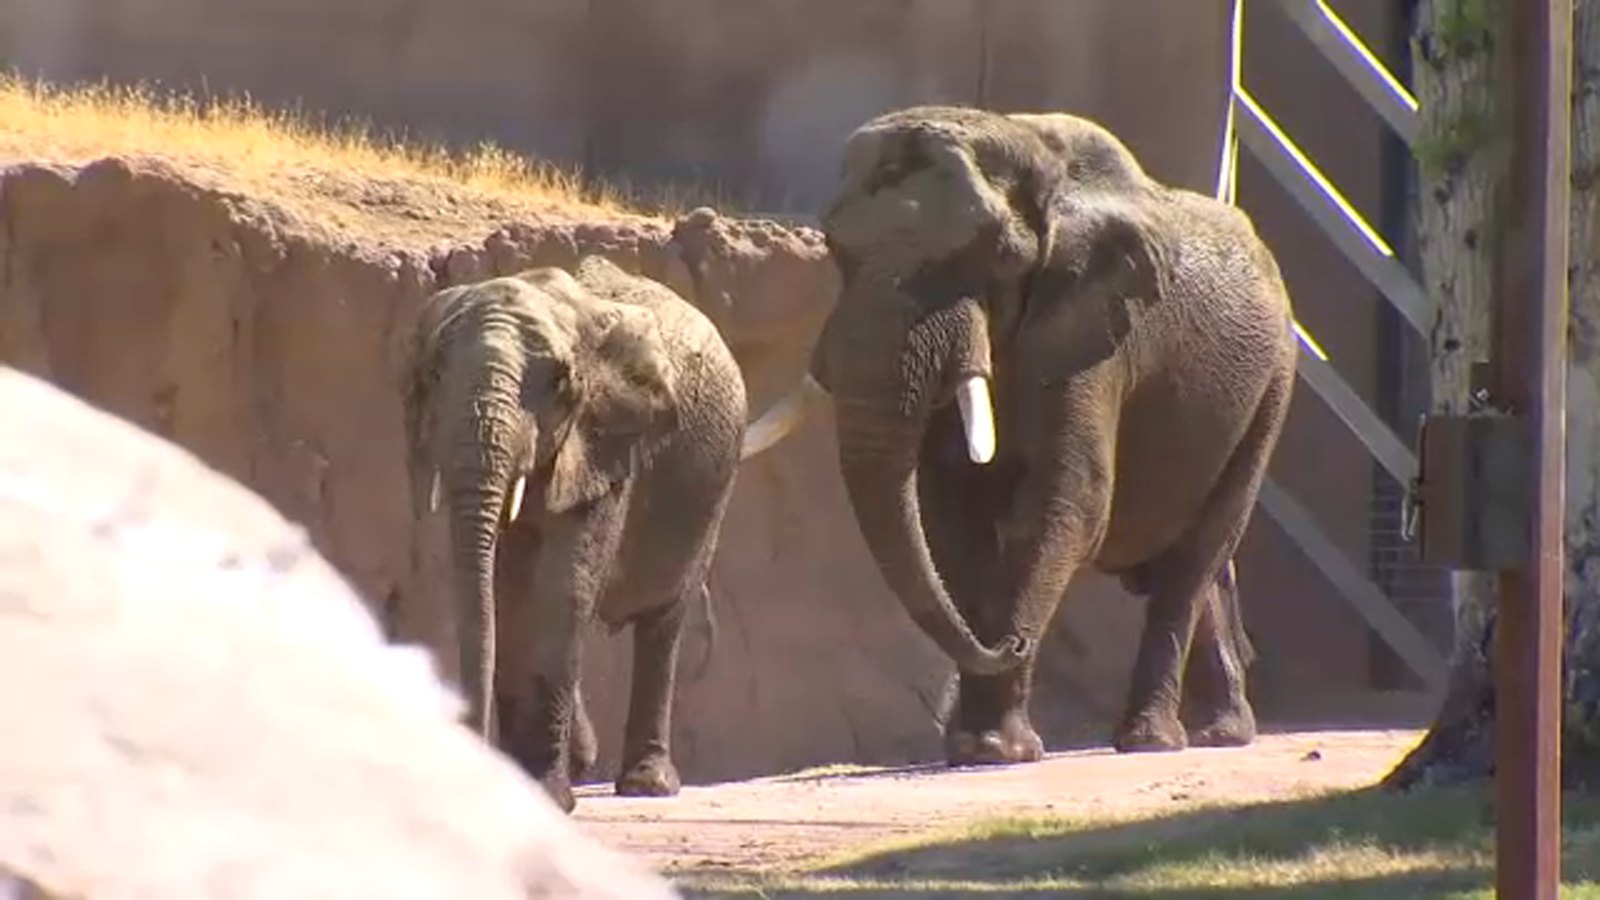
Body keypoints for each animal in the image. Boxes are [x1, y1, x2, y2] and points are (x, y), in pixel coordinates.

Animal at [400, 254, 748, 813]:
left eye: (561, 384)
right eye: (432, 376)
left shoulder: (606, 441)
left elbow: (562, 589)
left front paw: (548, 798)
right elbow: (509, 596)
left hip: (712, 481)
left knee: (663, 618)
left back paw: (648, 784)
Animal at [748, 108, 1299, 759]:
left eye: (993, 257)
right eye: (835, 247)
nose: (1008, 643)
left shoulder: (1092, 333)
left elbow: (1063, 503)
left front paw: (995, 749)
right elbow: (950, 511)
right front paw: (974, 747)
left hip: (1273, 386)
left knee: (1194, 559)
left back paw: (1154, 741)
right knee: (1197, 568)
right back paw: (1220, 733)